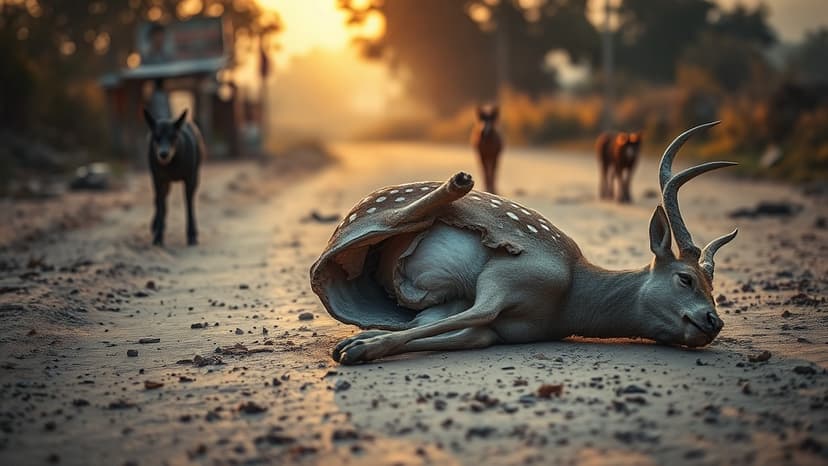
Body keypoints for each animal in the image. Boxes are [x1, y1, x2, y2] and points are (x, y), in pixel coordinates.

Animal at [143, 108, 205, 246]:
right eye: (156, 137)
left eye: (174, 136)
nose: (163, 154)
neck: (172, 166)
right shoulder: (158, 180)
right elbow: (161, 205)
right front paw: (158, 236)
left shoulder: (190, 179)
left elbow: (189, 205)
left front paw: (191, 235)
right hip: (162, 182)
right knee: (159, 201)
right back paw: (156, 224)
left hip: (195, 177)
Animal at [310, 122, 738, 365]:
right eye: (685, 278)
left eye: (713, 287)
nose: (713, 321)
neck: (568, 302)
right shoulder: (510, 273)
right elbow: (476, 313)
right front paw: (358, 347)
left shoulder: (483, 321)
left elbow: (468, 331)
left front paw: (364, 339)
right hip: (377, 222)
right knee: (382, 226)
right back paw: (457, 184)